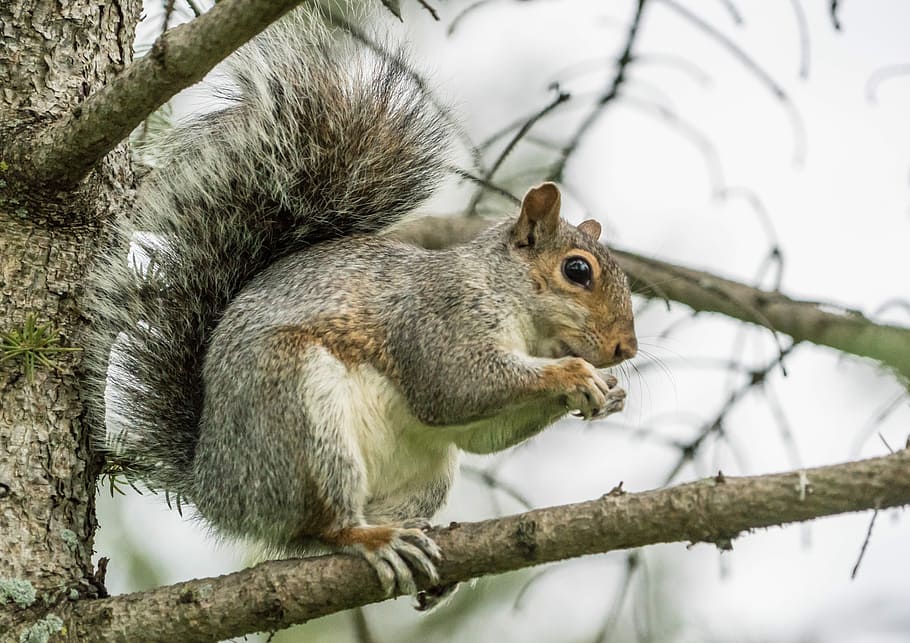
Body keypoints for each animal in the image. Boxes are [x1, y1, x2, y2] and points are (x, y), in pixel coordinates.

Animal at [86, 9, 637, 605]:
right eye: (577, 270)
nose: (625, 348)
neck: (510, 301)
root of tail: (216, 486)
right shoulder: (441, 319)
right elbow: (456, 387)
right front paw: (575, 374)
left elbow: (477, 432)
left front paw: (608, 394)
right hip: (300, 414)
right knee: (325, 525)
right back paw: (371, 538)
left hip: (427, 472)